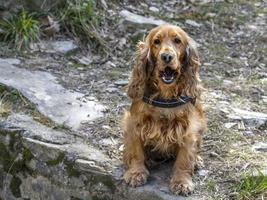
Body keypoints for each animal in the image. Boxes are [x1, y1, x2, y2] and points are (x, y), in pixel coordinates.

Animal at [122, 24, 208, 195]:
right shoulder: (134, 123)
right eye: (156, 41)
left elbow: (184, 159)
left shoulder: (188, 129)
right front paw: (136, 173)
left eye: (177, 41)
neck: (166, 93)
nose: (166, 57)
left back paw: (196, 160)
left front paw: (181, 181)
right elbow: (136, 152)